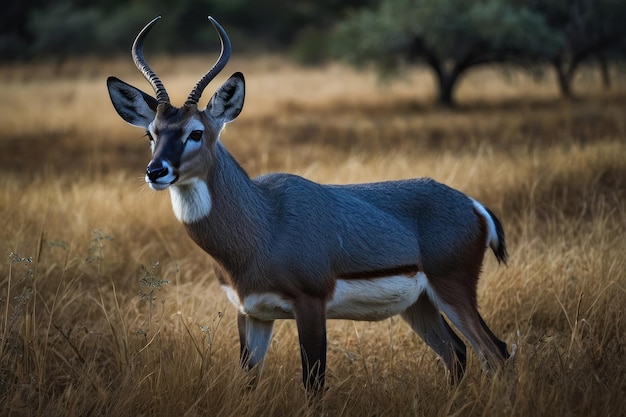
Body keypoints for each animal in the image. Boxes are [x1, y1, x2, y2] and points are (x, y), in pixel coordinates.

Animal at [106, 17, 508, 394]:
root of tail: (474, 206)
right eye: (152, 133)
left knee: (495, 351)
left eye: (196, 132)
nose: (156, 171)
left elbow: (313, 383)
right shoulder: (252, 313)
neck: (263, 224)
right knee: (457, 352)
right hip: (419, 303)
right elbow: (247, 383)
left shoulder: (310, 305)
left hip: (452, 289)